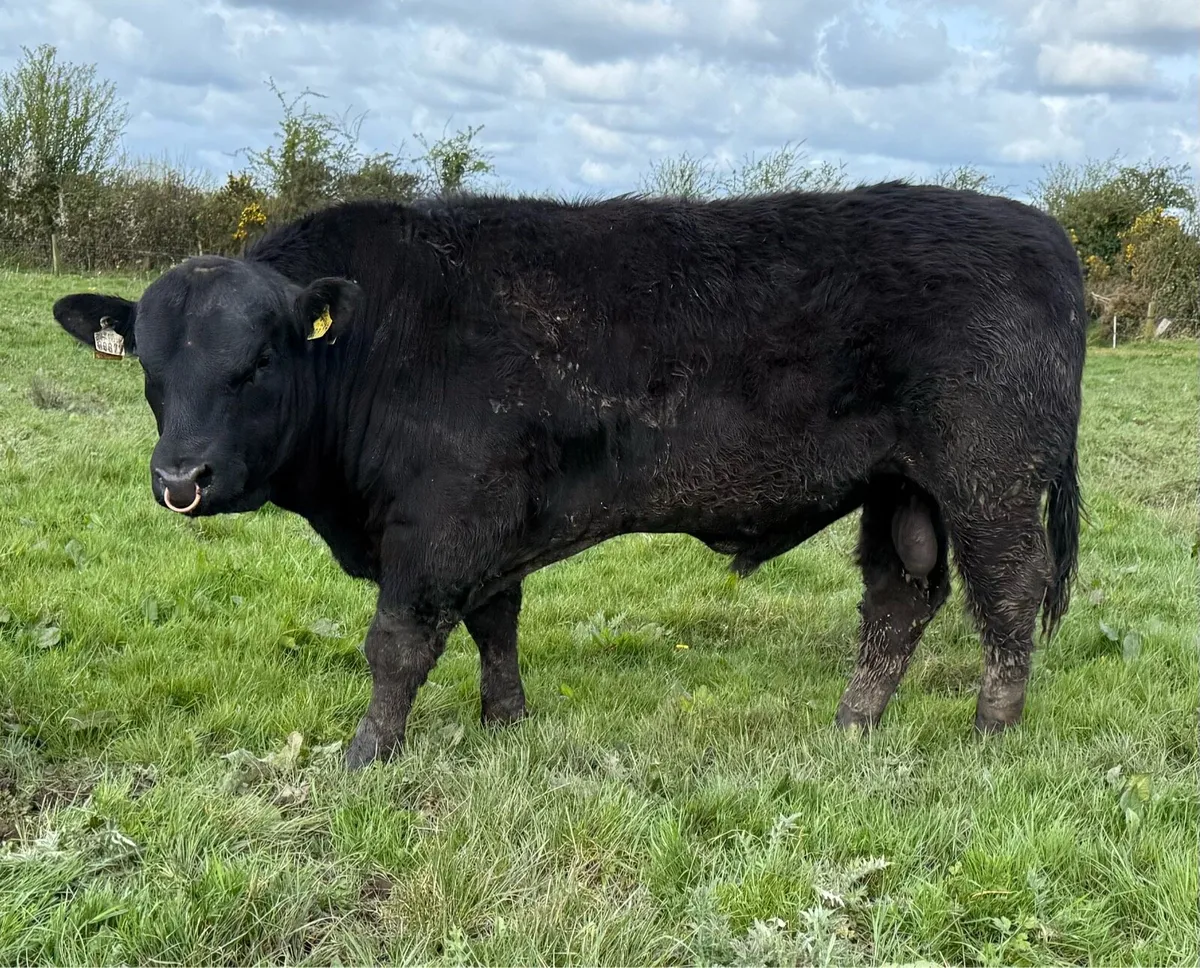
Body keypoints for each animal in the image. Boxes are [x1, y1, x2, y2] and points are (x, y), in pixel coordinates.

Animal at [52, 182, 1086, 768]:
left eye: (259, 360)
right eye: (148, 365)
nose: (181, 477)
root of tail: (1044, 235)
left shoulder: (440, 523)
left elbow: (397, 645)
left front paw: (364, 757)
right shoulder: (488, 525)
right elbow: (494, 623)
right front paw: (505, 722)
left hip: (986, 473)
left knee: (1008, 590)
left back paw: (991, 734)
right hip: (901, 486)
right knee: (901, 599)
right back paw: (852, 728)